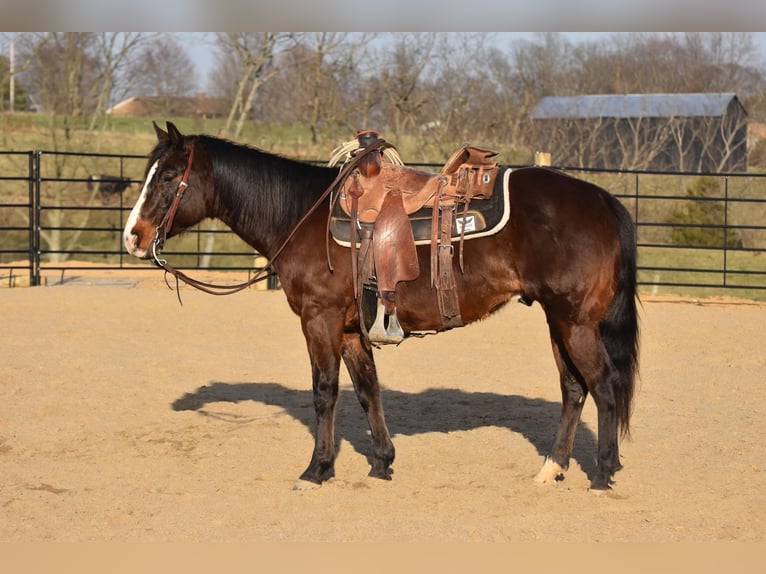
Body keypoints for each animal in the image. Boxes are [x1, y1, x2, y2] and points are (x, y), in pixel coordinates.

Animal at [124, 121, 640, 490]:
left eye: (168, 176)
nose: (133, 236)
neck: (302, 214)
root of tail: (602, 200)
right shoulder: (352, 328)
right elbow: (367, 390)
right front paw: (381, 463)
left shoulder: (320, 319)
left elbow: (325, 392)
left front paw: (317, 469)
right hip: (558, 320)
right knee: (573, 389)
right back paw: (552, 468)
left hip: (575, 322)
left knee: (604, 387)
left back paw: (603, 472)